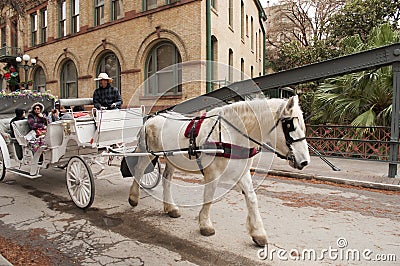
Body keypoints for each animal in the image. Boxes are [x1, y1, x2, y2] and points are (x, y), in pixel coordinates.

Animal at [126, 95, 310, 245]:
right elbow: (209, 198)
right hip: (148, 154)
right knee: (139, 170)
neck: (231, 135)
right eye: (290, 126)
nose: (305, 161)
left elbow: (252, 198)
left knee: (167, 179)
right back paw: (133, 198)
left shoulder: (243, 173)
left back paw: (171, 208)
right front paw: (205, 225)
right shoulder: (212, 173)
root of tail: (150, 119)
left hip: (171, 158)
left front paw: (258, 232)